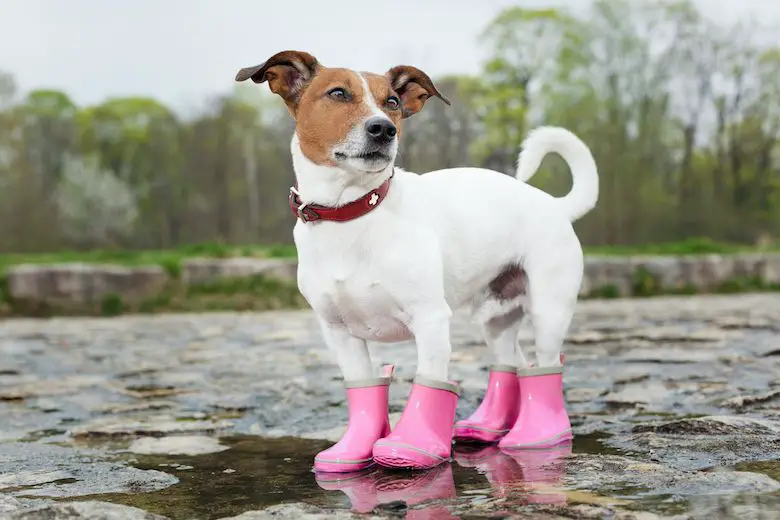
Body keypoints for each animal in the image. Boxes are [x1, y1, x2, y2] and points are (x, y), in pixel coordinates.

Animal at [235, 50, 600, 474]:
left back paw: (540, 436)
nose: (382, 129)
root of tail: (555, 205)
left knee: (545, 367)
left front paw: (413, 447)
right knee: (512, 364)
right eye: (338, 93)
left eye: (392, 102)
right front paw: (353, 451)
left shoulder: (430, 319)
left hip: (548, 311)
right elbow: (363, 387)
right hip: (495, 317)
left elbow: (430, 381)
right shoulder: (339, 333)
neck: (354, 214)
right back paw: (489, 427)